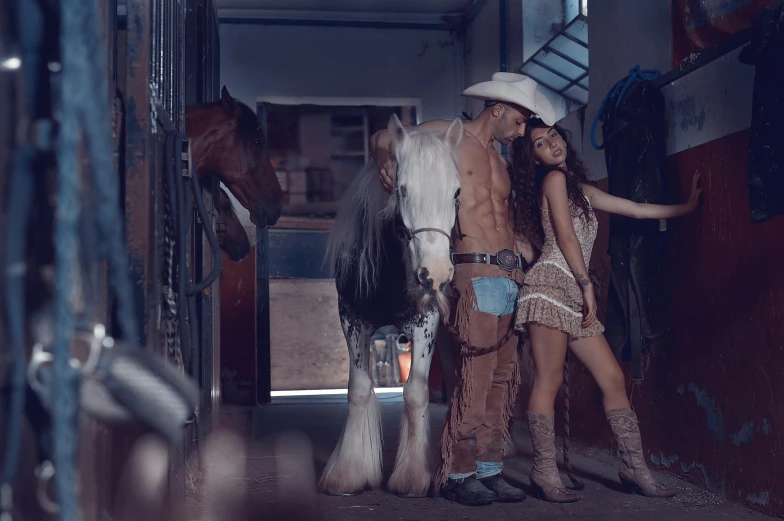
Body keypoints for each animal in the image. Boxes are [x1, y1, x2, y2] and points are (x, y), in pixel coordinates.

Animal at [320, 114, 462, 496]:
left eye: (456, 193)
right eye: (402, 189)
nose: (436, 274)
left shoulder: (426, 324)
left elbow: (415, 393)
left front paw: (414, 475)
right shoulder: (352, 321)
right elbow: (357, 390)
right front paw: (348, 473)